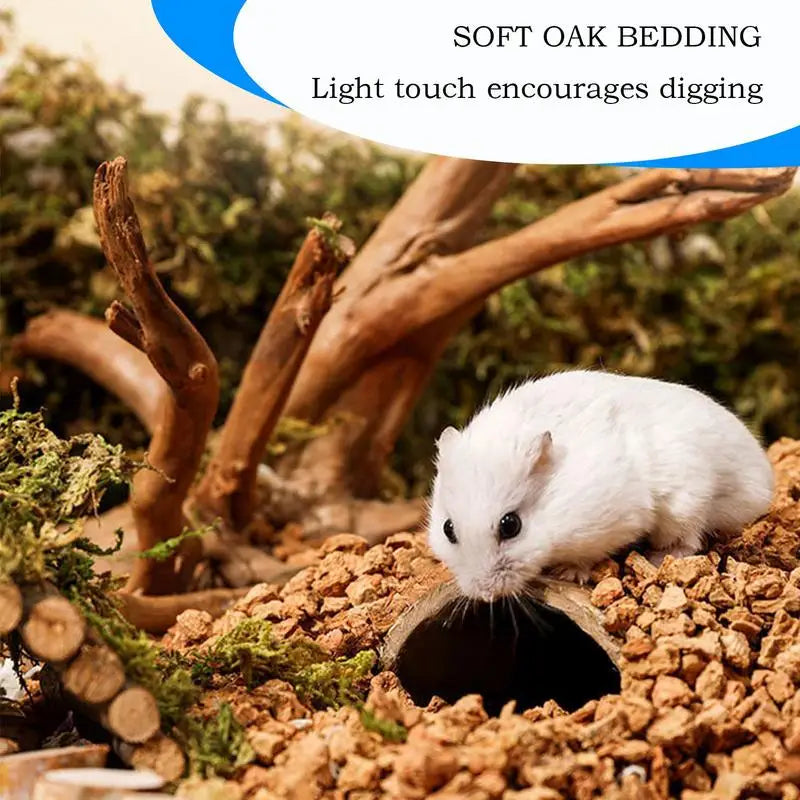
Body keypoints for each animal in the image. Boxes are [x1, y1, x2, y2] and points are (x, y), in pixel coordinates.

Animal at [428, 370, 774, 601]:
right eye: (448, 529)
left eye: (510, 525)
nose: (484, 595)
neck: (557, 500)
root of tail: (765, 481)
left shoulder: (611, 522)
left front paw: (569, 573)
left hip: (686, 504)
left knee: (690, 543)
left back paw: (654, 559)